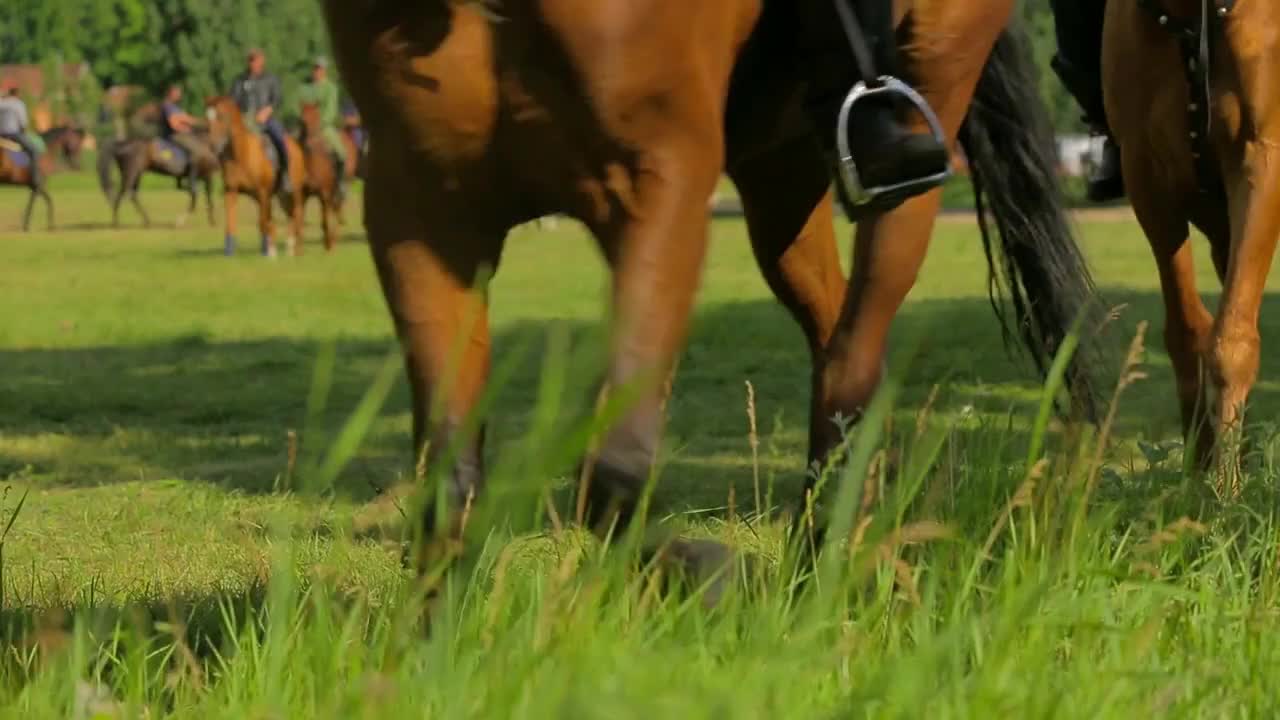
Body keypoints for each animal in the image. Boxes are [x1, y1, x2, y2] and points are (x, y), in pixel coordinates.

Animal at [204, 95, 307, 256]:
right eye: (206, 117)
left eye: (221, 116)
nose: (212, 145)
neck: (242, 154)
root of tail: (295, 146)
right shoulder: (231, 192)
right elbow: (231, 222)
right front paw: (229, 252)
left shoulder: (263, 193)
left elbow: (263, 222)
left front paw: (270, 252)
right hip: (280, 196)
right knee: (290, 216)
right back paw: (290, 247)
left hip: (294, 192)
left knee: (297, 215)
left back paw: (296, 250)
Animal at [296, 102, 343, 251]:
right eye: (302, 121)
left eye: (318, 119)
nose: (310, 142)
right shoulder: (302, 195)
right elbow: (299, 221)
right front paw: (298, 250)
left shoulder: (324, 194)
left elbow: (324, 221)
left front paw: (327, 246)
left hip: (333, 194)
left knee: (336, 214)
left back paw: (332, 241)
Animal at [320, 0, 1100, 579]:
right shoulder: (421, 211)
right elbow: (449, 483)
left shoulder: (661, 183)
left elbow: (614, 471)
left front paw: (708, 571)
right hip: (781, 174)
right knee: (838, 344)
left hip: (931, 93)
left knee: (857, 339)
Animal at [1105, 1, 1274, 486]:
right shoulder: (1147, 174)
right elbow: (1188, 334)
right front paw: (1199, 477)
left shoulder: (1262, 159)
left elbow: (1232, 340)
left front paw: (1226, 491)